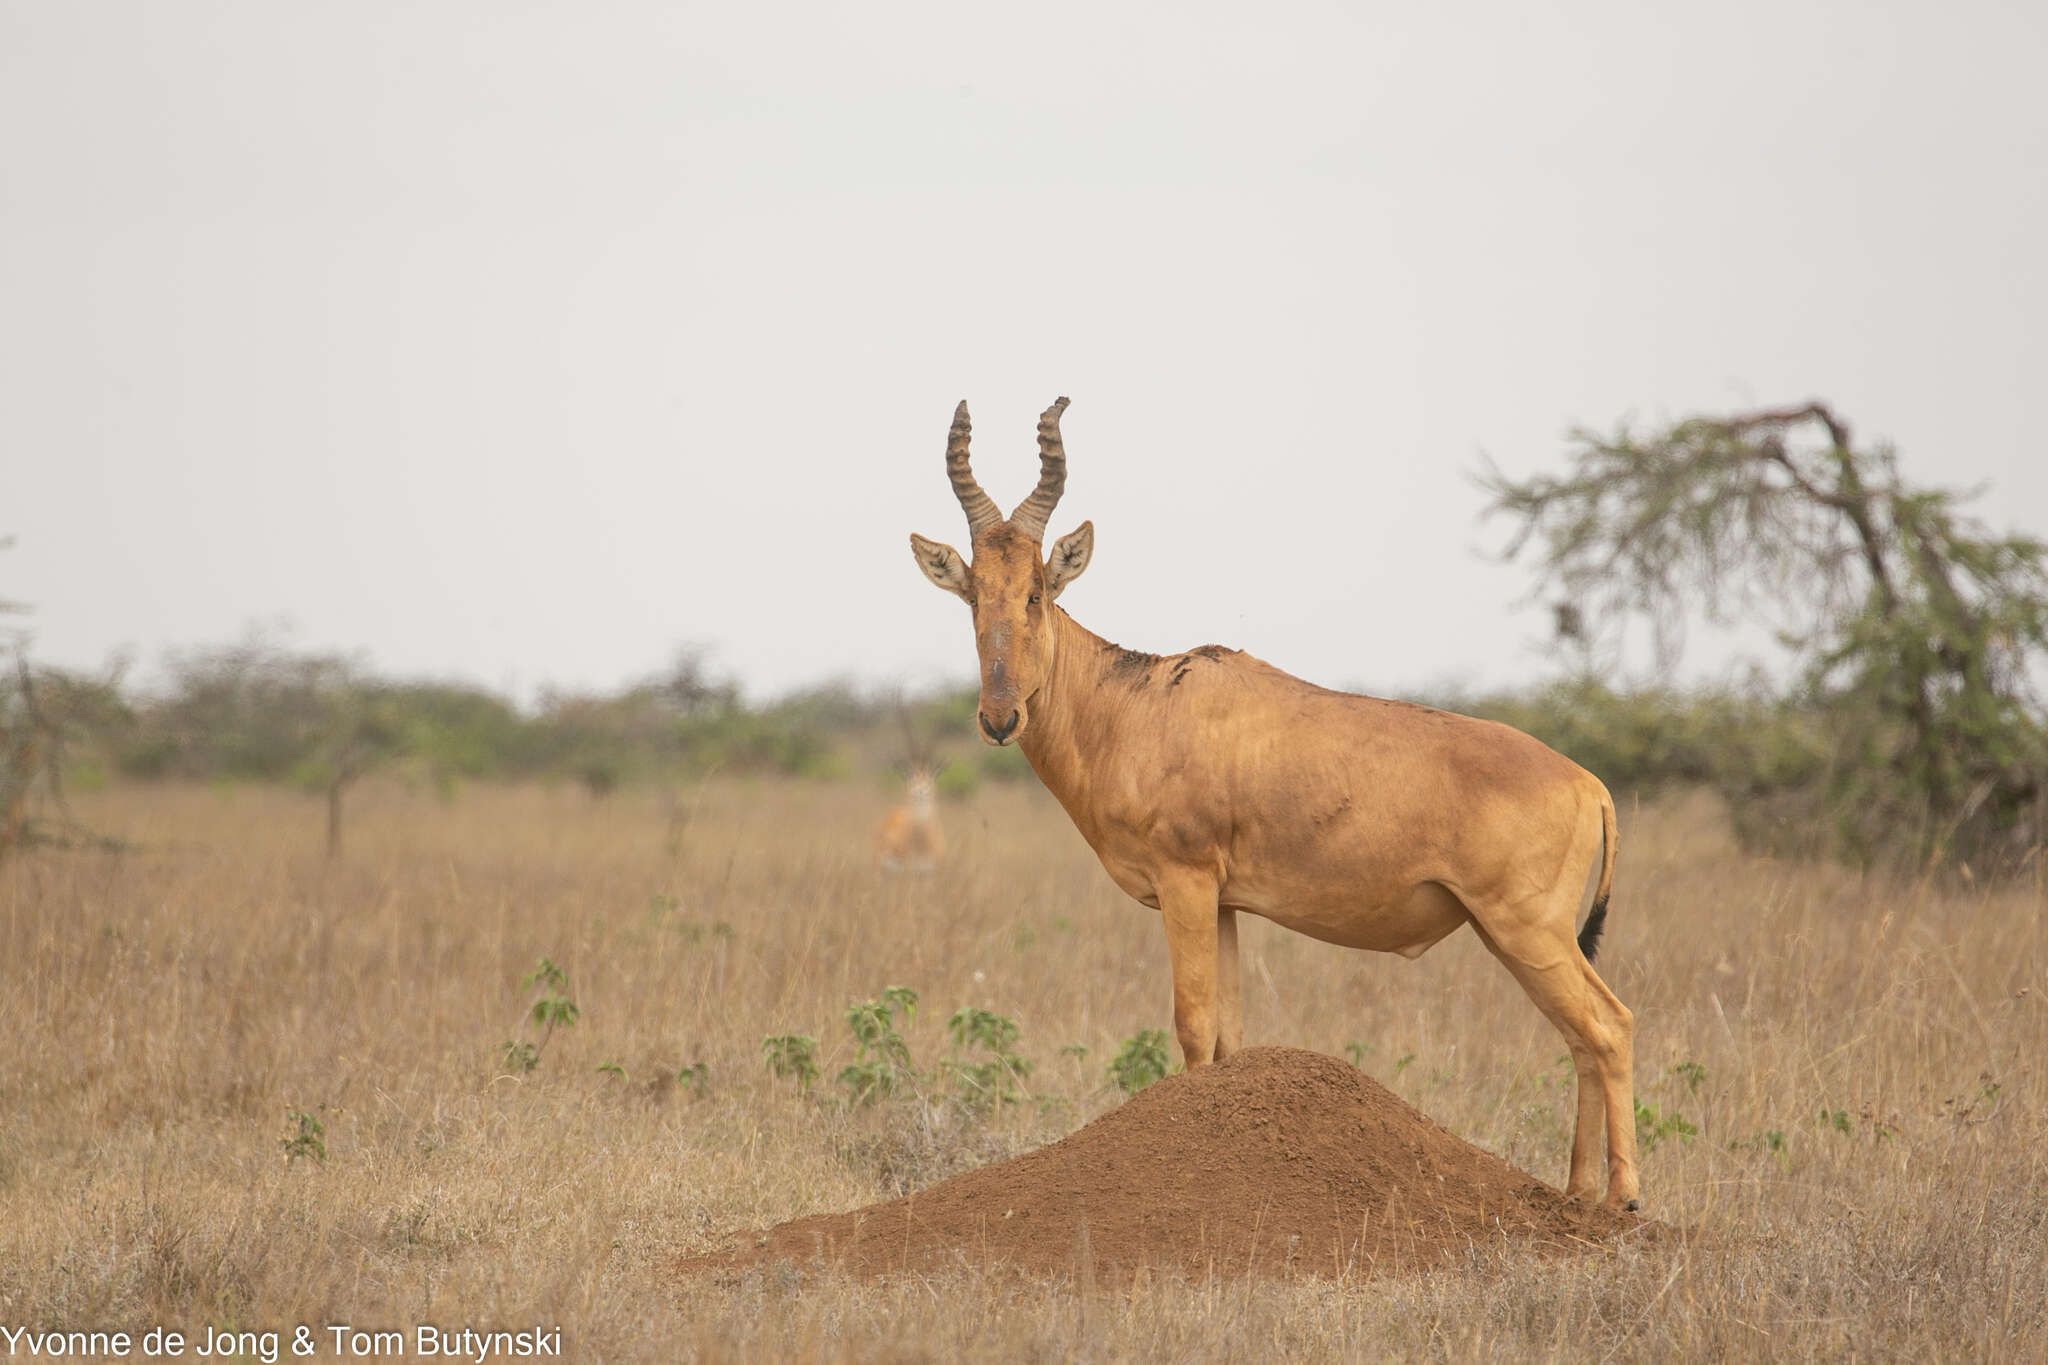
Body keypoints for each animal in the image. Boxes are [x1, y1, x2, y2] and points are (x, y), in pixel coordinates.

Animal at [913, 401, 1646, 1211]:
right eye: (974, 593)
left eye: (1039, 591)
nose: (1000, 718)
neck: (1141, 703)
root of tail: (1587, 783)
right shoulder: (1226, 900)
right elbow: (1229, 1035)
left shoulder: (1186, 881)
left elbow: (1194, 1024)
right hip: (1516, 934)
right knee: (1578, 1036)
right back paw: (1576, 1196)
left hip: (1527, 926)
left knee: (1609, 1025)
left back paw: (1624, 1199)